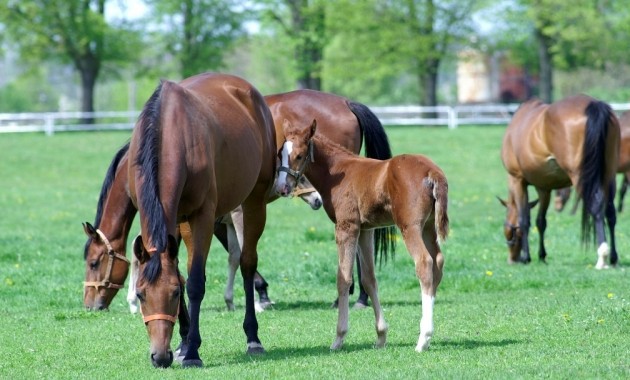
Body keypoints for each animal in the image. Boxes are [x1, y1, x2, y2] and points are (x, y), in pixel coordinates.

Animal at [128, 72, 276, 368]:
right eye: (140, 294)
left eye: (174, 293)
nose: (160, 356)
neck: (169, 133)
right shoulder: (170, 218)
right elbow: (181, 273)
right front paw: (184, 344)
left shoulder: (203, 216)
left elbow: (195, 282)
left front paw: (193, 351)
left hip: (253, 202)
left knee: (247, 264)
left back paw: (253, 338)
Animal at [276, 119, 450, 354]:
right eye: (280, 154)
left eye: (300, 155)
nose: (282, 187)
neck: (338, 172)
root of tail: (432, 171)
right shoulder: (366, 229)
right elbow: (369, 278)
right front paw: (381, 336)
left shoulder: (346, 227)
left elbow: (343, 278)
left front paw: (339, 338)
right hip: (429, 227)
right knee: (437, 262)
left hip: (410, 226)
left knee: (424, 263)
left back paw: (423, 338)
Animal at [504, 94, 624, 270]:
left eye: (508, 232)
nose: (512, 260)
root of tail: (594, 105)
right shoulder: (544, 188)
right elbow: (541, 221)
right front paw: (542, 256)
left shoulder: (517, 180)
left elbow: (524, 219)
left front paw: (527, 257)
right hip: (609, 175)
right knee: (610, 213)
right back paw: (614, 258)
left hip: (580, 176)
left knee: (596, 207)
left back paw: (602, 257)